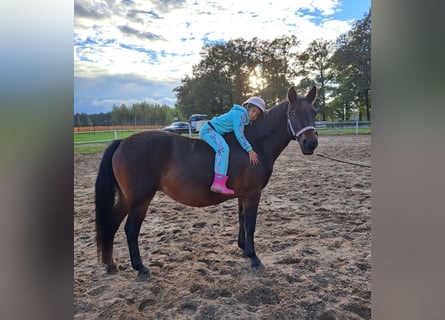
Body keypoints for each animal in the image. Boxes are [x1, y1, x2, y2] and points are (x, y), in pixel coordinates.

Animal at [95, 86, 318, 278]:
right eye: (294, 113)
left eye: (314, 112)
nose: (310, 144)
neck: (255, 143)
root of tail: (122, 142)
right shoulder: (253, 193)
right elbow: (251, 224)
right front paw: (254, 258)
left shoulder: (243, 195)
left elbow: (241, 220)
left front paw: (243, 249)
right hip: (141, 200)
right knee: (130, 229)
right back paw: (140, 267)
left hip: (127, 199)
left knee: (112, 224)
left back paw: (111, 264)